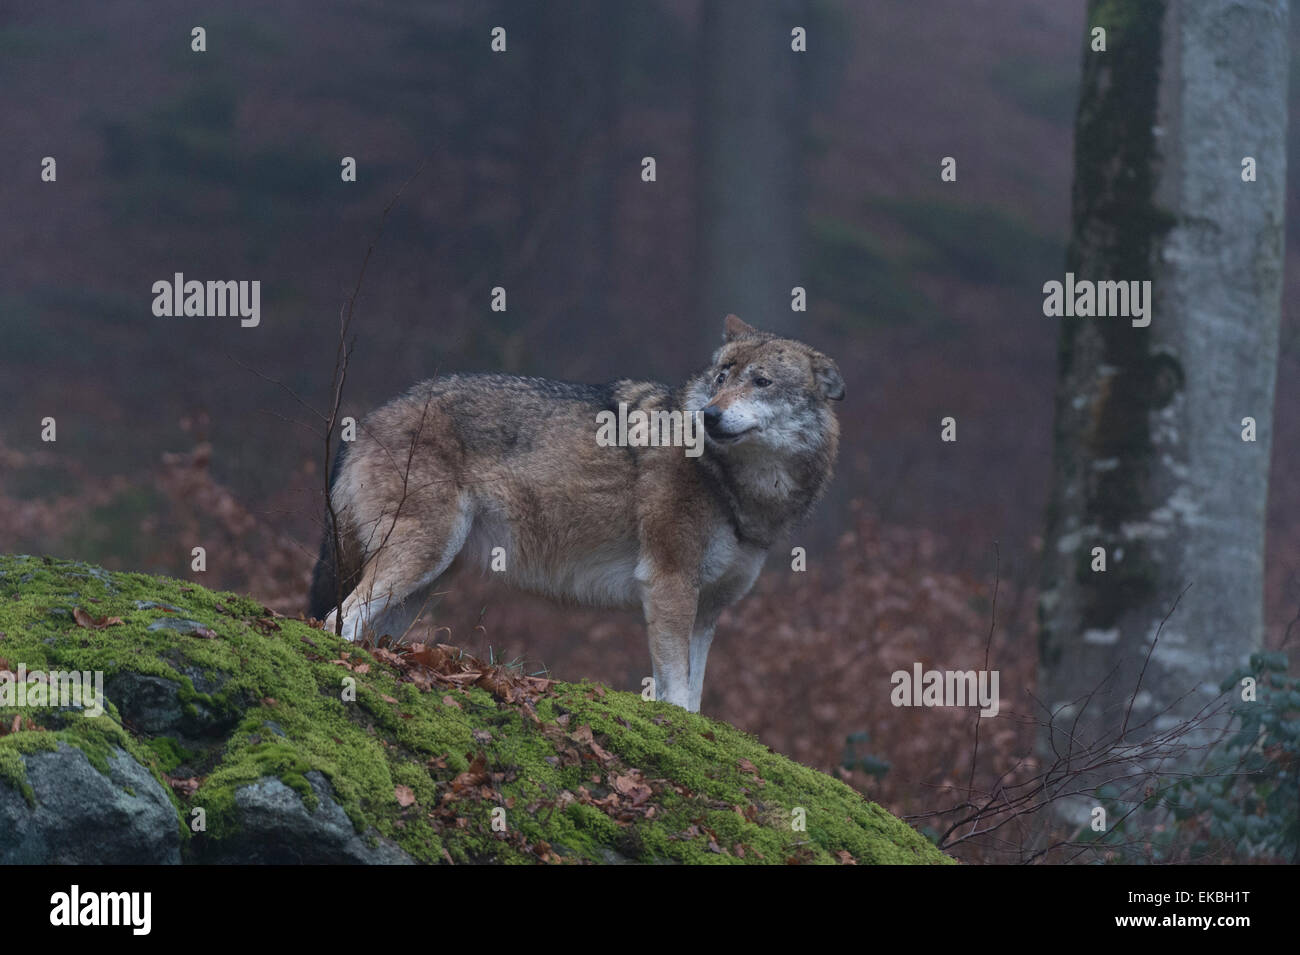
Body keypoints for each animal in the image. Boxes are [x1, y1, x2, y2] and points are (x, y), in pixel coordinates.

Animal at [308, 315, 843, 712]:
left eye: (761, 381)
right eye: (721, 377)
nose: (708, 414)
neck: (731, 482)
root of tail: (367, 420)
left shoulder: (707, 608)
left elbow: (694, 695)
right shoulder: (668, 584)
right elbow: (674, 691)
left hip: (423, 583)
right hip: (421, 557)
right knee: (340, 617)